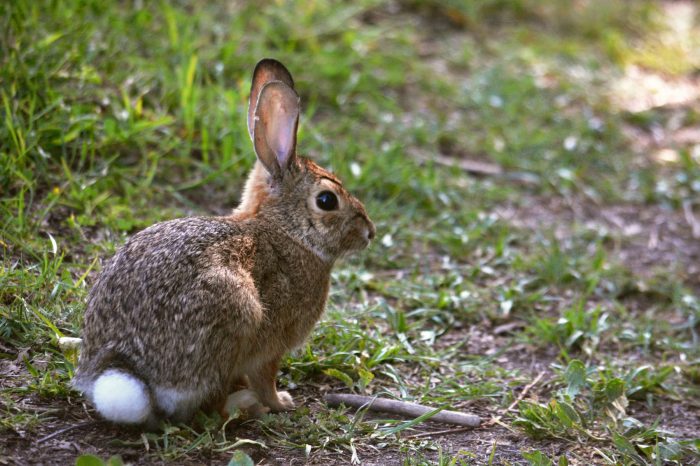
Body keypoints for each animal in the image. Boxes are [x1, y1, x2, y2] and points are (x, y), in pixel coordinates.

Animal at [72, 58, 374, 426]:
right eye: (327, 201)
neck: (286, 231)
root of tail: (126, 368)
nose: (370, 233)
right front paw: (282, 402)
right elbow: (265, 377)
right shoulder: (271, 345)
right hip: (237, 312)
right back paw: (245, 405)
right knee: (209, 406)